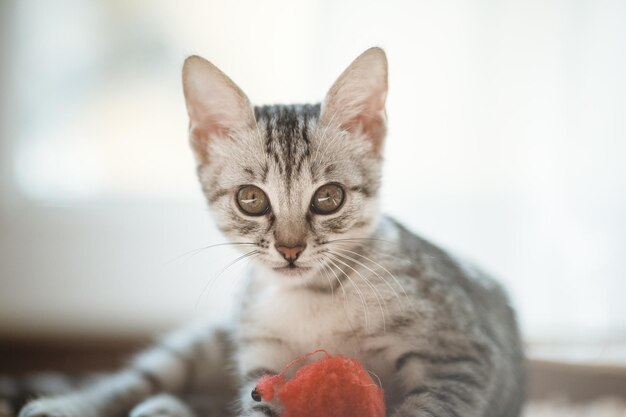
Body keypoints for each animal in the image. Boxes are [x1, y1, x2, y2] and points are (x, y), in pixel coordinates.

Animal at [18, 48, 520, 416]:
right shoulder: (260, 366)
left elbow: (429, 408)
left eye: (329, 197)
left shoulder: (462, 355)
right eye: (251, 199)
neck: (314, 297)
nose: (290, 248)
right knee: (137, 381)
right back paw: (71, 405)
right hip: (203, 343)